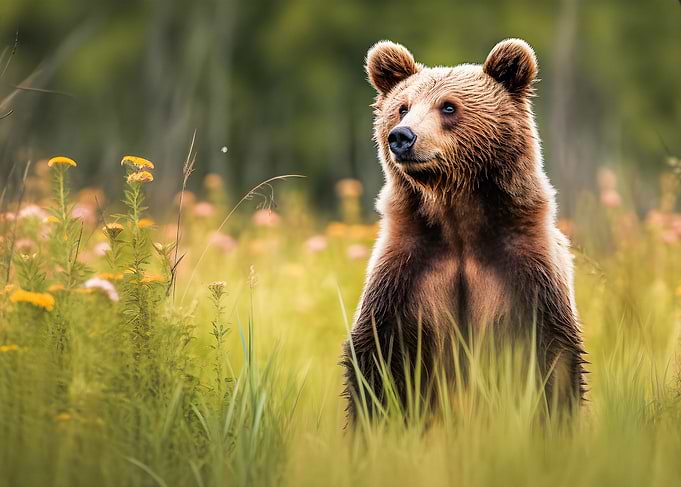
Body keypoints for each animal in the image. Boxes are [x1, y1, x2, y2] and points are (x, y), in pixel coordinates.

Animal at [341, 38, 586, 423]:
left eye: (448, 106)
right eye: (401, 107)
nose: (402, 137)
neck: (458, 222)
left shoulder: (528, 269)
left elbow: (552, 354)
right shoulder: (404, 270)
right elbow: (377, 357)